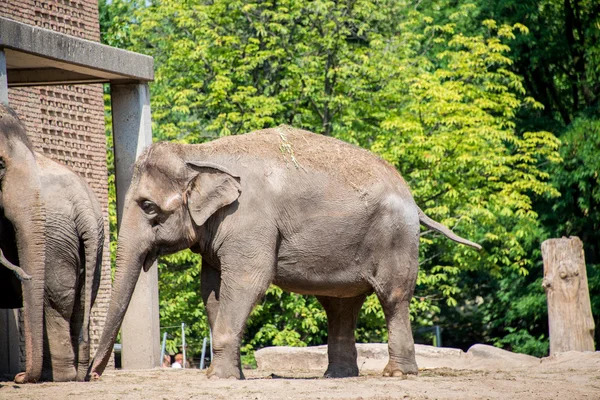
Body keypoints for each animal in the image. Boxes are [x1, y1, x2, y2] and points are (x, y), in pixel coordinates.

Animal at [90, 126, 482, 380]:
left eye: (148, 207)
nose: (93, 375)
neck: (200, 154)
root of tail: (412, 199)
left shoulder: (249, 219)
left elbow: (247, 281)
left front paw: (218, 379)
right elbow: (211, 288)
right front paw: (231, 375)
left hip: (396, 238)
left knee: (393, 298)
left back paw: (397, 375)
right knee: (341, 306)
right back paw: (337, 378)